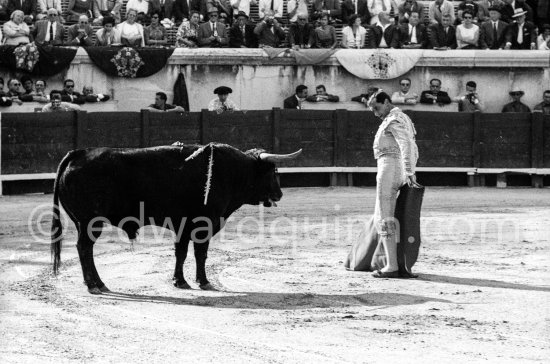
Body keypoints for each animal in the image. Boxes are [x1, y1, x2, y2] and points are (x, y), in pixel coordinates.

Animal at [51, 142, 302, 292]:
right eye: (273, 172)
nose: (280, 193)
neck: (230, 171)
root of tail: (79, 153)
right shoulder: (203, 225)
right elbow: (200, 254)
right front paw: (203, 281)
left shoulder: (183, 227)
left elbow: (181, 253)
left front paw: (180, 281)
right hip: (89, 222)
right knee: (84, 248)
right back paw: (94, 284)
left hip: (81, 222)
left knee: (85, 249)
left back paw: (97, 283)